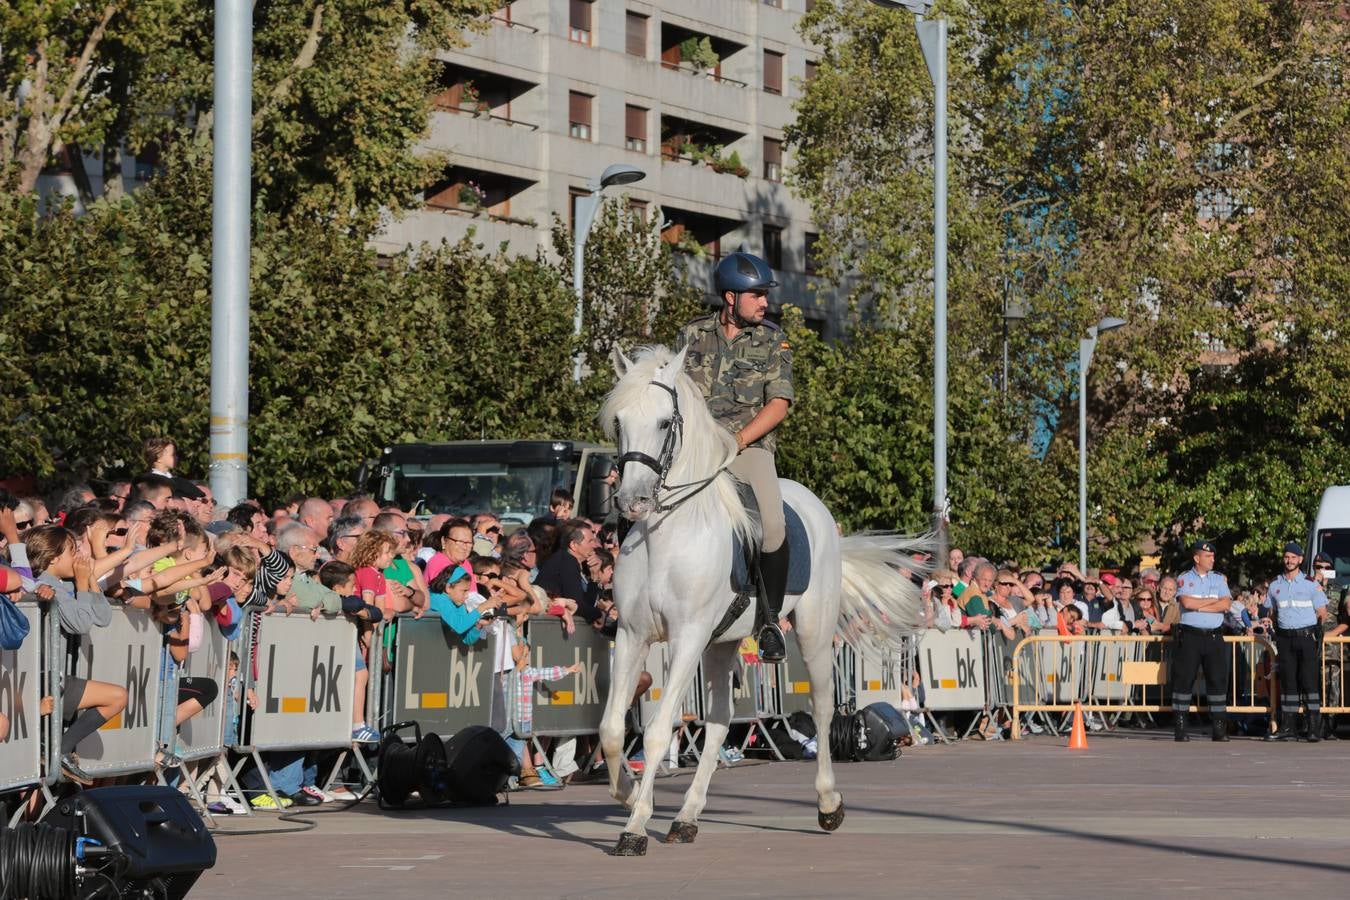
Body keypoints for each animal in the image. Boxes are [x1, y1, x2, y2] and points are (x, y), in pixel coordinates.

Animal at [596, 345, 934, 858]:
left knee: (822, 707)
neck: (667, 534)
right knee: (718, 723)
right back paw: (686, 818)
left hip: (810, 634)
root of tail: (815, 507)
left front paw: (635, 828)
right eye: (619, 421)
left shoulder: (687, 637)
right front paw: (631, 795)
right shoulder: (634, 635)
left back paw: (829, 804)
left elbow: (655, 733)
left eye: (663, 422)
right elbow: (614, 731)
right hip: (720, 645)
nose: (632, 502)